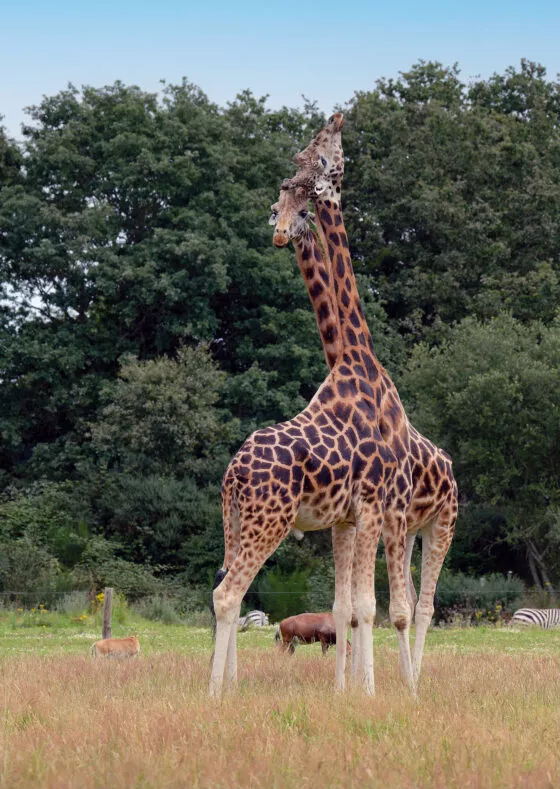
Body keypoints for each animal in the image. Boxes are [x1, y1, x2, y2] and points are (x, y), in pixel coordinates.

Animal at [210, 189, 409, 697]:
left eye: (299, 210)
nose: (279, 233)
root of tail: (233, 473)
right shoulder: (363, 514)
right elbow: (360, 607)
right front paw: (361, 690)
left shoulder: (349, 520)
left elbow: (348, 608)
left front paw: (350, 689)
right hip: (270, 522)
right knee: (229, 592)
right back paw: (219, 690)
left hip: (240, 522)